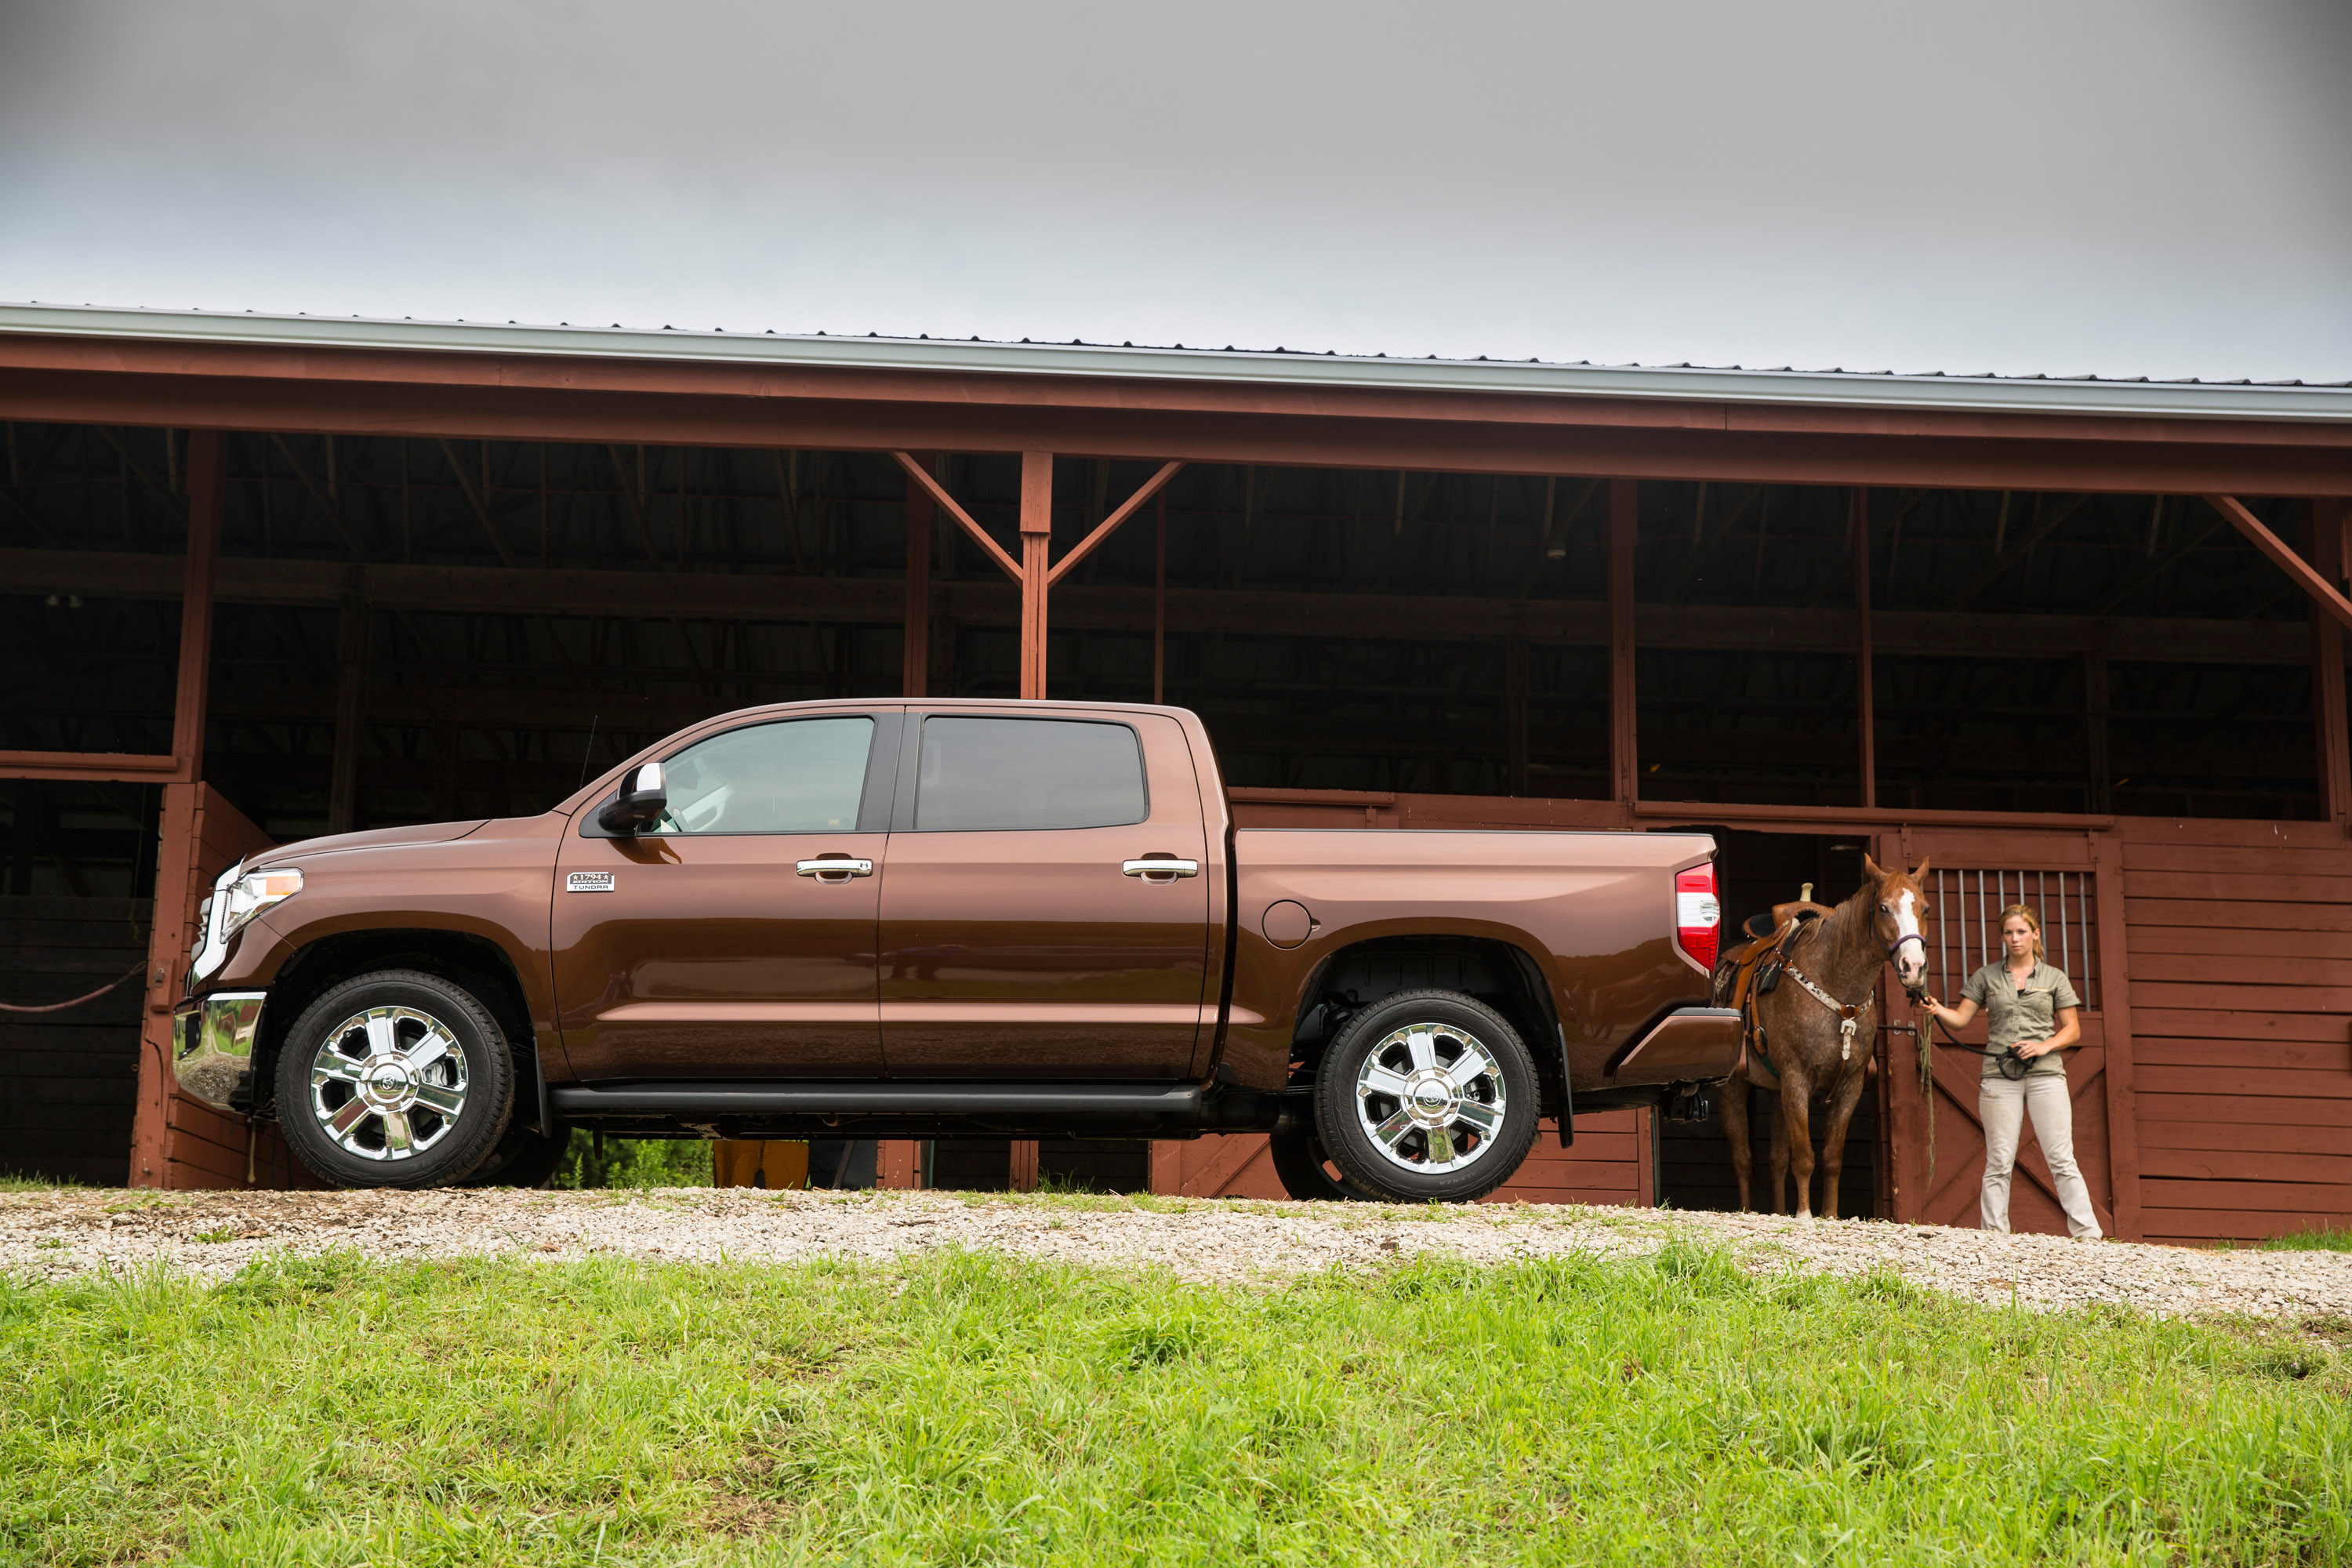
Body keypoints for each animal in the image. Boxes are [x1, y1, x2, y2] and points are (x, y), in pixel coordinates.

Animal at [1712, 860, 1929, 1213]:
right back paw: (1747, 1208)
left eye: (1924, 908)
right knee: (1742, 1158)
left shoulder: (1849, 1087)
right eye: (1883, 908)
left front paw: (1829, 1214)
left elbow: (1831, 1159)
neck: (1841, 994)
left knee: (1776, 1159)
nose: (1914, 966)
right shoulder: (1797, 1080)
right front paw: (1804, 1213)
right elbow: (1804, 1157)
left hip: (1777, 1092)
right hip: (1735, 1087)